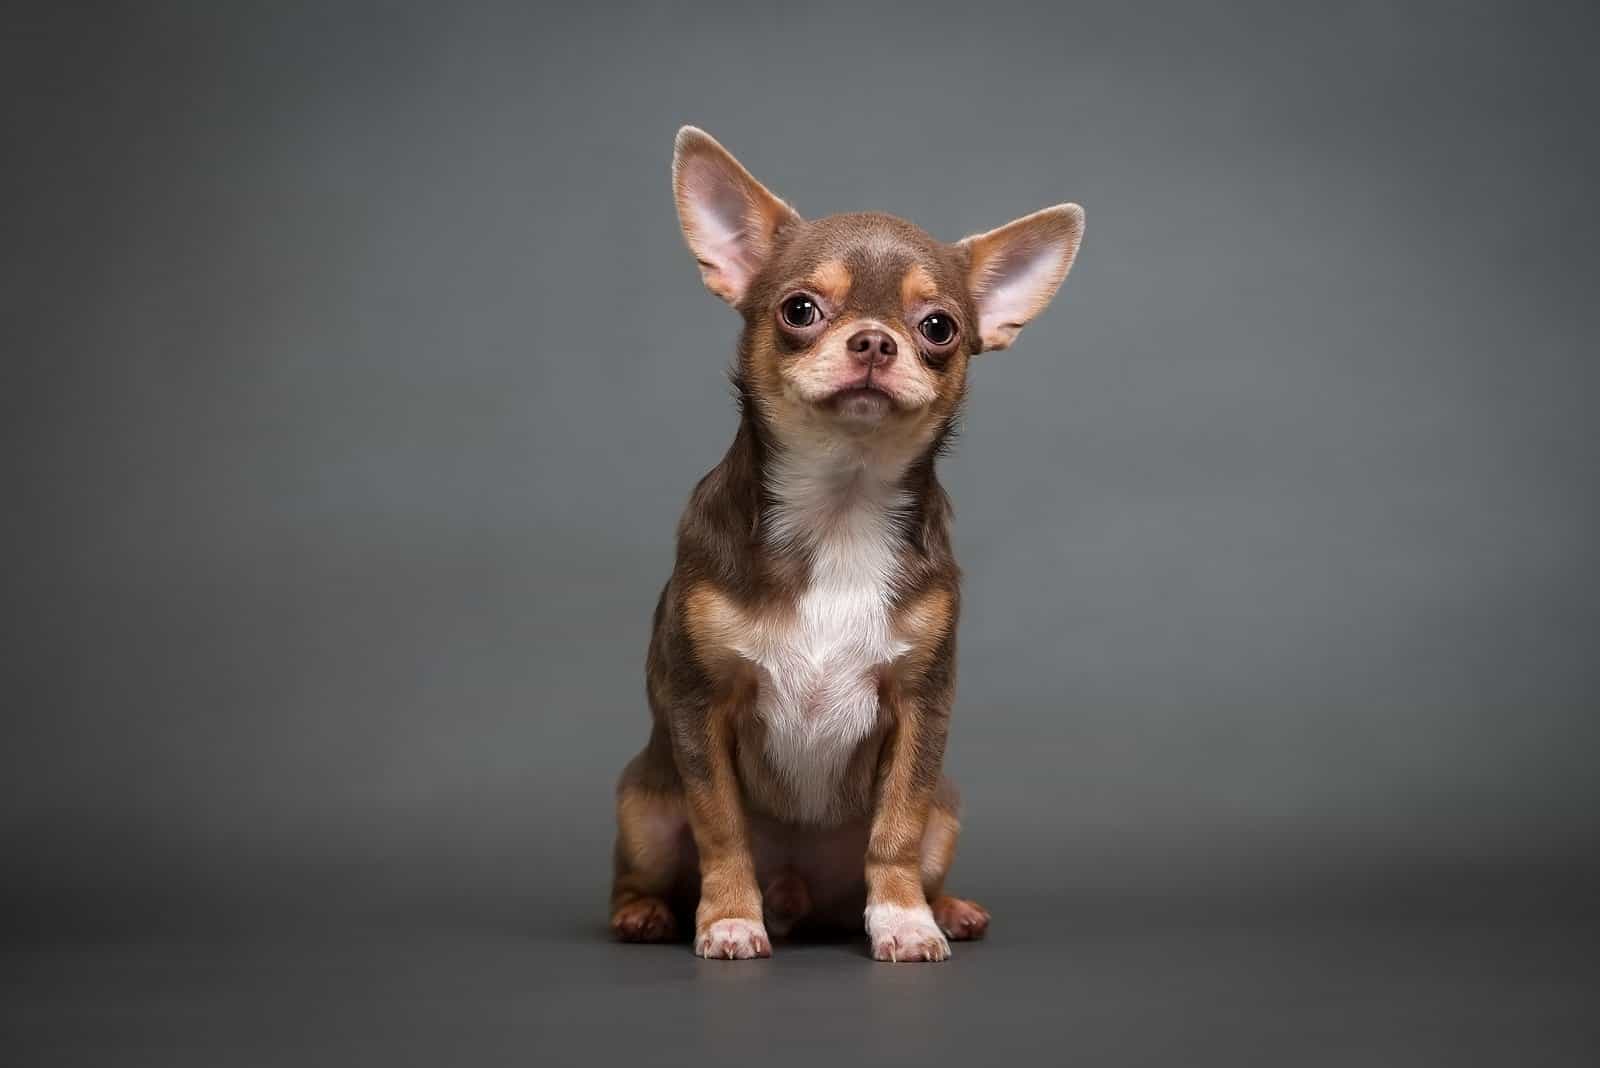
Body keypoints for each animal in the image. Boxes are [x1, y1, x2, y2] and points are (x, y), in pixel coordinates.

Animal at [604, 129, 1081, 965]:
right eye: (800, 309)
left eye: (938, 328)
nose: (873, 341)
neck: (840, 509)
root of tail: (801, 895)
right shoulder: (700, 705)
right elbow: (720, 826)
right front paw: (729, 919)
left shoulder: (921, 709)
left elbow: (895, 828)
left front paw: (903, 920)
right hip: (645, 810)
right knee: (640, 873)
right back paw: (649, 914)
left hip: (948, 811)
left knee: (912, 844)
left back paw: (945, 906)